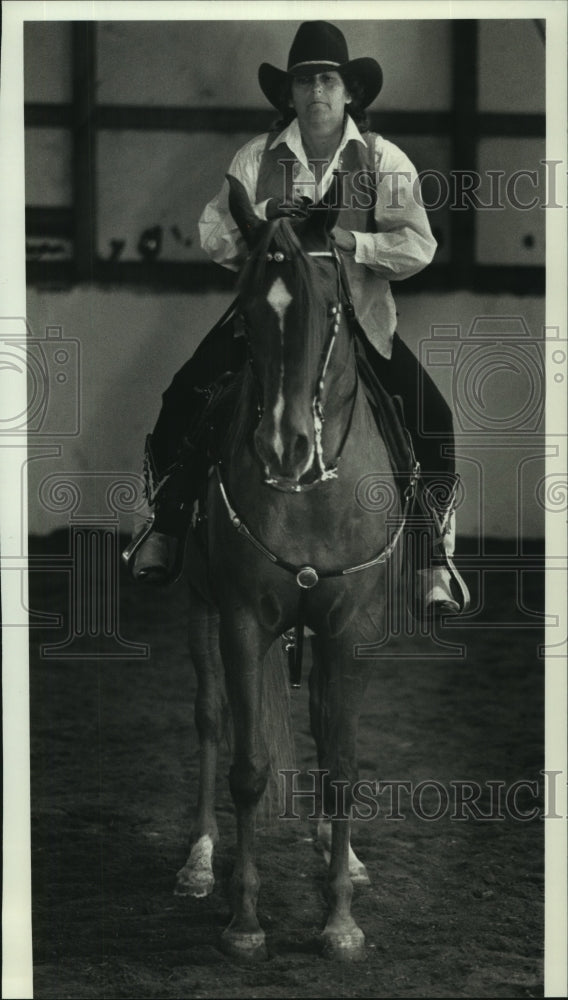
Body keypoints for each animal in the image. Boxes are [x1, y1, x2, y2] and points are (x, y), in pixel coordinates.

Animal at [174, 178, 408, 960]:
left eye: (326, 307)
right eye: (246, 316)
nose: (285, 448)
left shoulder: (351, 630)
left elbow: (340, 768)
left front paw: (340, 921)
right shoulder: (243, 618)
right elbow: (248, 768)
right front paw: (245, 919)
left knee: (320, 726)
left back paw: (344, 858)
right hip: (200, 608)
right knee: (210, 717)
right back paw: (201, 861)